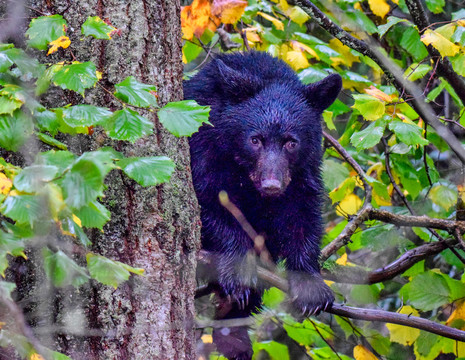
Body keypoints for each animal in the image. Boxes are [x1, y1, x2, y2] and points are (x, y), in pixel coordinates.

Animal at [184, 51, 340, 360]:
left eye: (291, 142)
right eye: (255, 139)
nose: (271, 185)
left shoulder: (302, 172)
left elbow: (302, 214)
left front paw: (310, 285)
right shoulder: (202, 146)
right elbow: (209, 204)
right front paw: (239, 272)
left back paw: (232, 333)